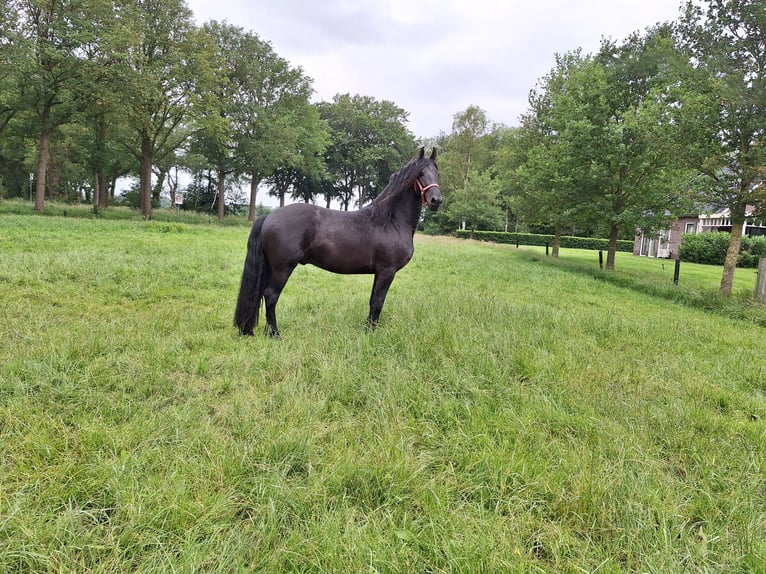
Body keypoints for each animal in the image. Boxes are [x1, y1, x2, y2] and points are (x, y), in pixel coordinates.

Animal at [234, 148, 440, 338]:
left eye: (437, 172)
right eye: (420, 174)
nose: (436, 200)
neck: (389, 222)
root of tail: (269, 216)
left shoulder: (379, 272)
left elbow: (372, 300)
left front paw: (367, 329)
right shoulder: (387, 271)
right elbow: (378, 302)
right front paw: (371, 333)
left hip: (270, 268)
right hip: (282, 269)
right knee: (271, 296)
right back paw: (275, 334)